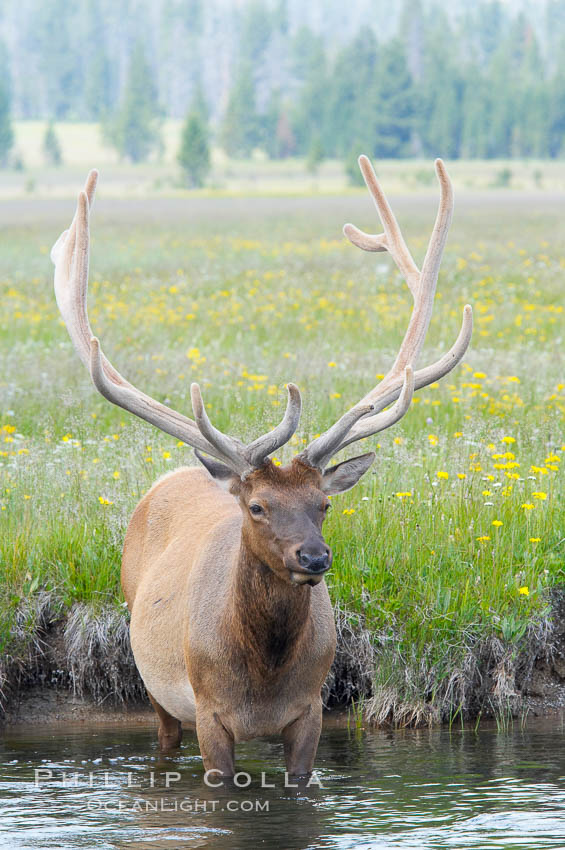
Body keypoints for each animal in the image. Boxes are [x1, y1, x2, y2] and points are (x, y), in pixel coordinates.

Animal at [51, 154, 472, 776]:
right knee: (162, 737)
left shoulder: (311, 711)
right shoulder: (208, 711)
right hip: (154, 683)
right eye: (257, 506)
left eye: (324, 504)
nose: (315, 557)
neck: (263, 678)